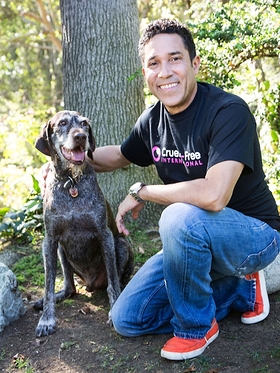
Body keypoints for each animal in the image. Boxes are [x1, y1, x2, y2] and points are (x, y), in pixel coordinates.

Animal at [34, 110, 135, 338]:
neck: (71, 181)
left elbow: (113, 283)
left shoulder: (105, 235)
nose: (81, 136)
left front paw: (114, 310)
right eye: (62, 123)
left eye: (85, 124)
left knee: (118, 280)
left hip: (121, 245)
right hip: (62, 252)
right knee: (70, 287)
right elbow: (48, 284)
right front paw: (46, 320)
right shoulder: (50, 240)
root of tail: (90, 284)